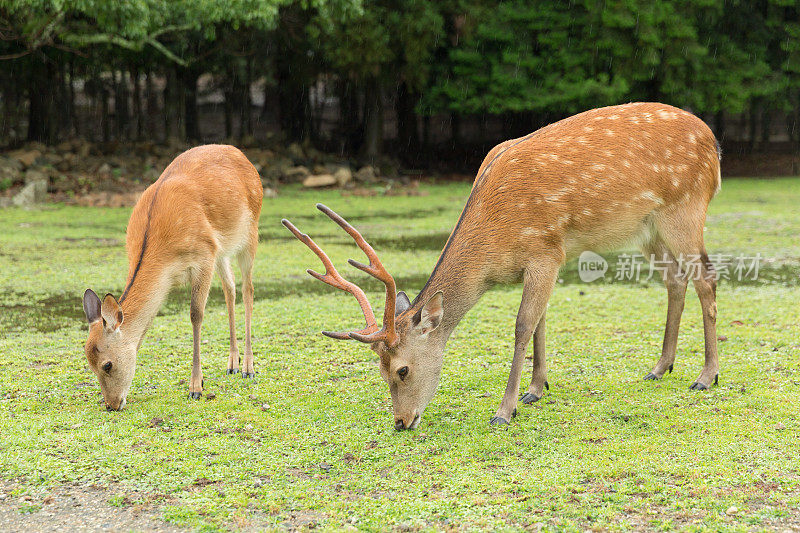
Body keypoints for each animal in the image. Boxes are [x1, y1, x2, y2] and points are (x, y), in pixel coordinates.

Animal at [81, 143, 262, 410]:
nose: (112, 405)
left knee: (248, 289)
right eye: (89, 364)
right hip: (221, 251)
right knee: (230, 289)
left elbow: (196, 314)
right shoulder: (206, 257)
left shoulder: (204, 256)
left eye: (107, 364)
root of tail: (243, 156)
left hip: (250, 234)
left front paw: (196, 387)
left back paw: (248, 367)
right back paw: (233, 364)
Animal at [284, 103, 720, 428]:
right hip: (647, 230)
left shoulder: (545, 250)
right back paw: (660, 367)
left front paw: (504, 409)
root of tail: (713, 143)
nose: (402, 422)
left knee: (707, 279)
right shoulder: (544, 258)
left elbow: (524, 324)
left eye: (402, 370)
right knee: (675, 279)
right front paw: (536, 389)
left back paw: (706, 376)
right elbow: (541, 320)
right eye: (379, 370)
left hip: (685, 209)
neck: (497, 244)